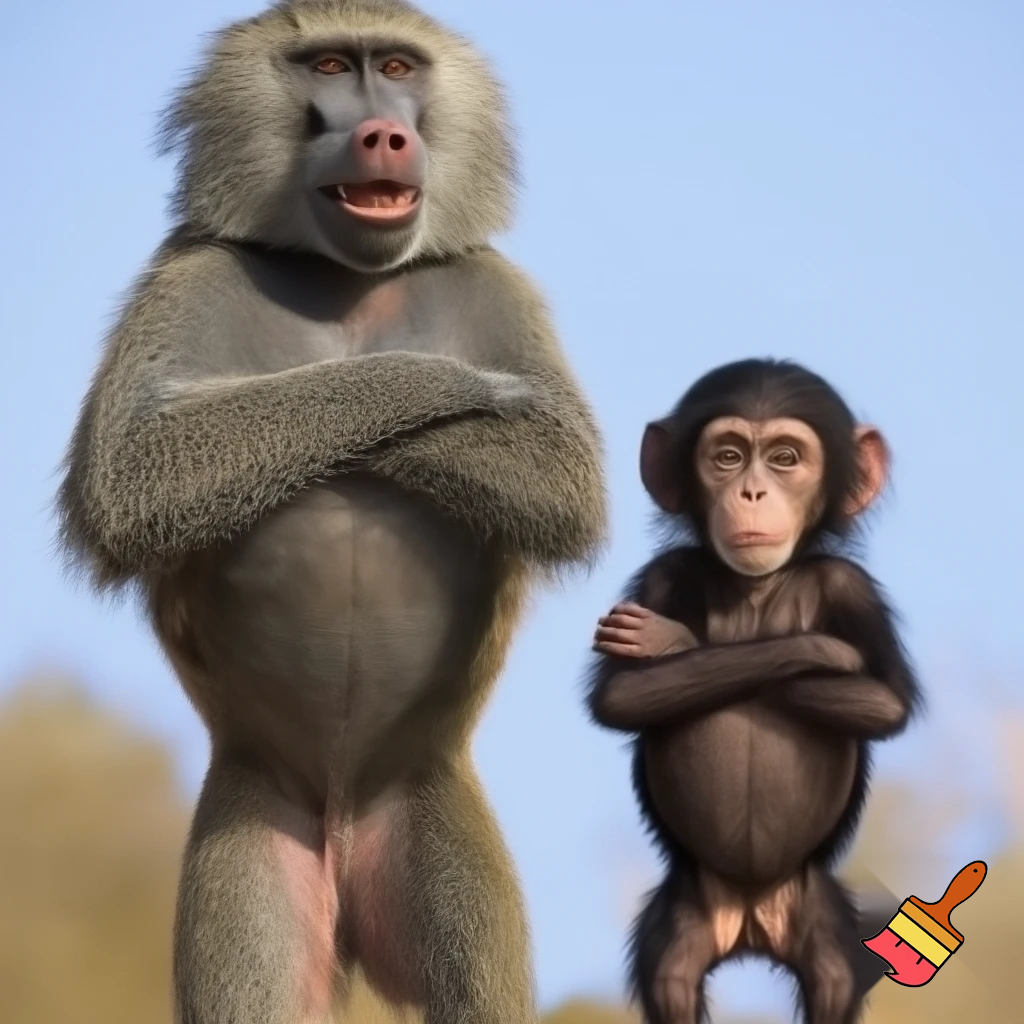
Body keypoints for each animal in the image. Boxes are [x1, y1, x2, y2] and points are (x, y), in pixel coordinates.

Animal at [55, 3, 607, 1023]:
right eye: (328, 68)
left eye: (394, 67)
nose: (384, 132)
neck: (345, 278)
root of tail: (346, 826)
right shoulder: (184, 274)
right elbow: (131, 471)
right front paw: (446, 383)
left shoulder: (495, 282)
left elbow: (564, 469)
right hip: (253, 839)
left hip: (432, 826)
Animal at [586, 359, 920, 1024]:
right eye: (729, 457)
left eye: (785, 458)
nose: (752, 492)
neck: (758, 591)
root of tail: (749, 921)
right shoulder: (663, 574)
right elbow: (622, 696)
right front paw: (676, 639)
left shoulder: (853, 588)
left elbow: (885, 701)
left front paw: (673, 638)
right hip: (686, 916)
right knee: (672, 978)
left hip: (816, 915)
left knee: (834, 977)